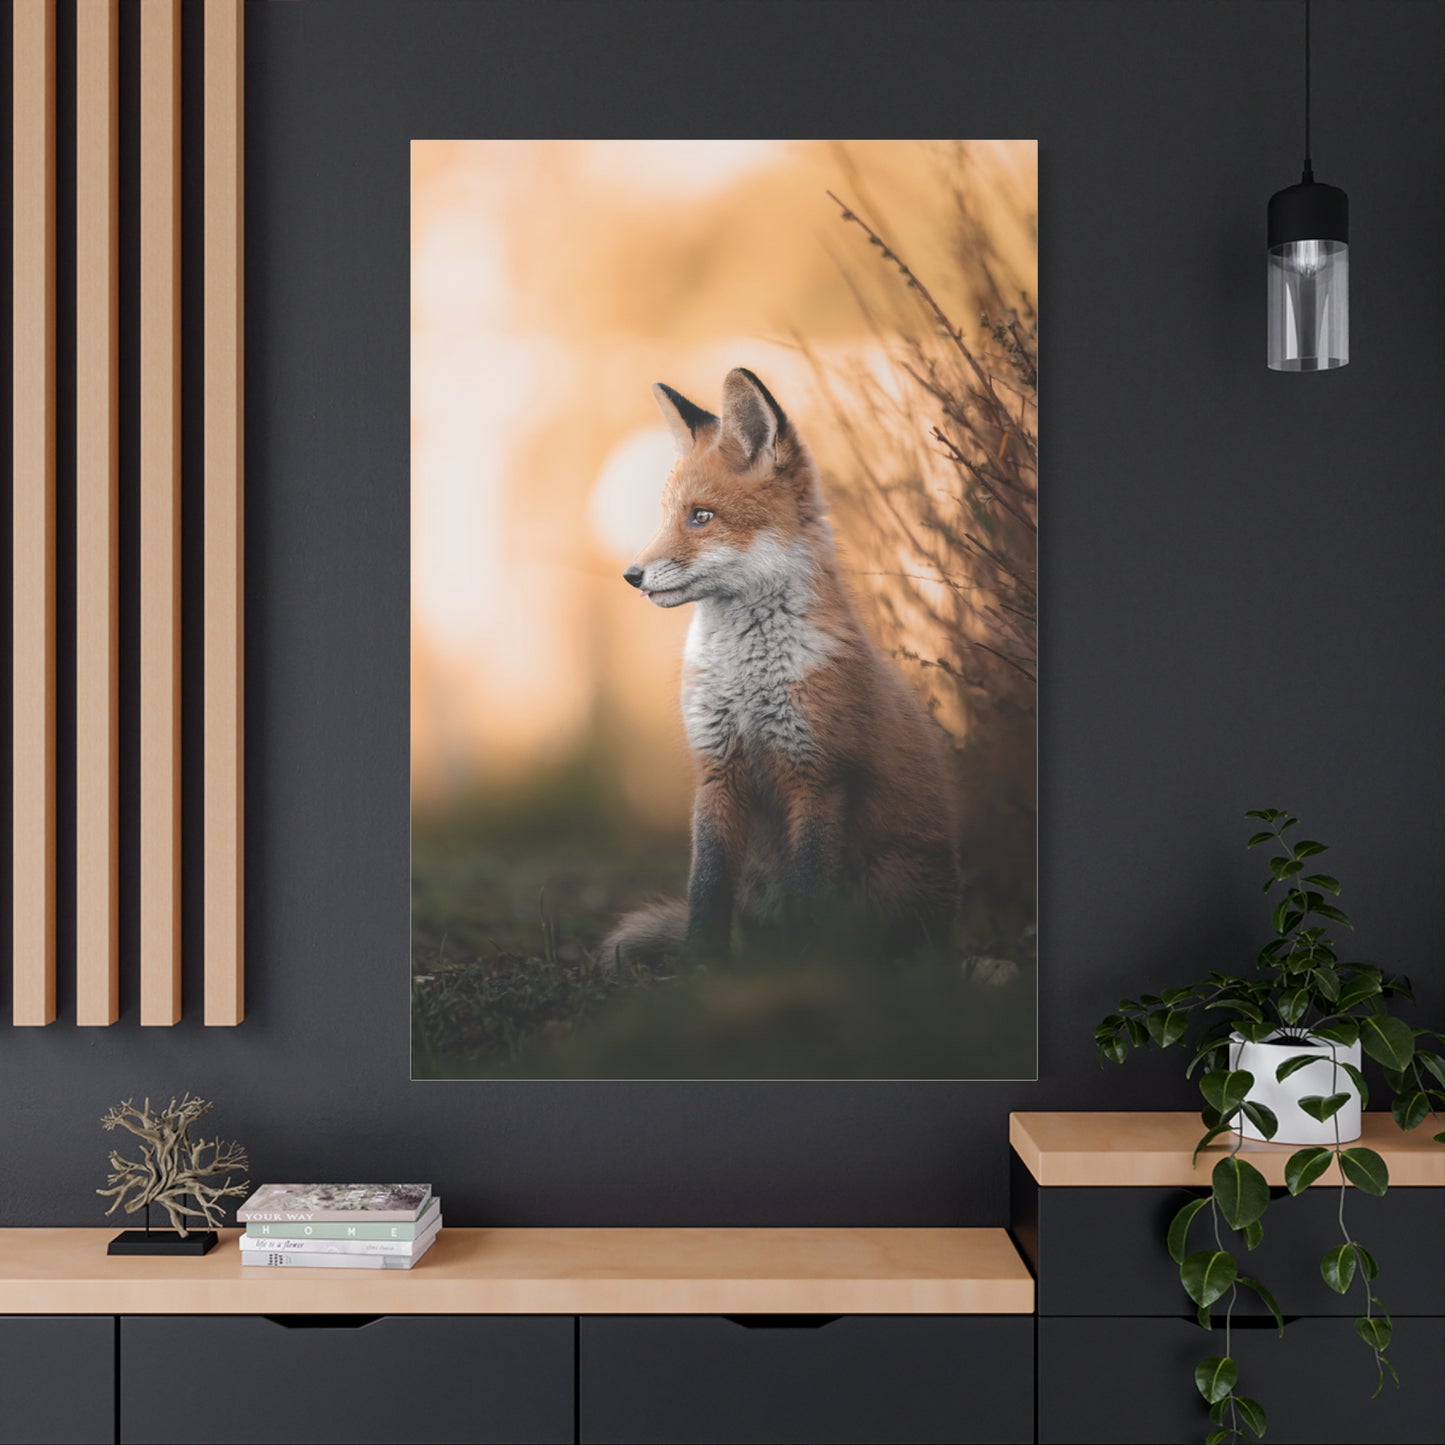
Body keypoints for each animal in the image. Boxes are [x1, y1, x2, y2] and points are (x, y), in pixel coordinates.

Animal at [603, 367, 961, 969]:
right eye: (667, 516)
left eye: (701, 517)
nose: (632, 576)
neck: (747, 680)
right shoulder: (717, 769)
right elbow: (706, 885)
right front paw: (701, 965)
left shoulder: (818, 773)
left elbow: (808, 888)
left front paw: (801, 963)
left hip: (892, 880)